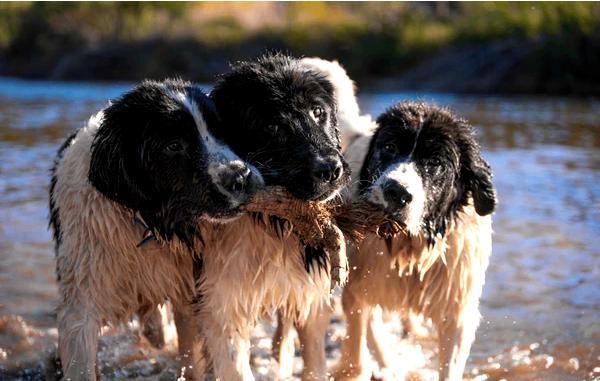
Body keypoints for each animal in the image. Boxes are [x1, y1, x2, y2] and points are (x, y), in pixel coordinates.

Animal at [48, 78, 262, 378]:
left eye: (220, 130)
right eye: (173, 146)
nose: (241, 177)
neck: (146, 222)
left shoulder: (189, 289)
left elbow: (191, 354)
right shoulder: (80, 303)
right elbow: (81, 364)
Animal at [332, 101, 496, 380]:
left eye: (435, 162)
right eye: (389, 147)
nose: (396, 191)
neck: (408, 246)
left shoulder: (456, 310)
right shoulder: (358, 287)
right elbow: (357, 350)